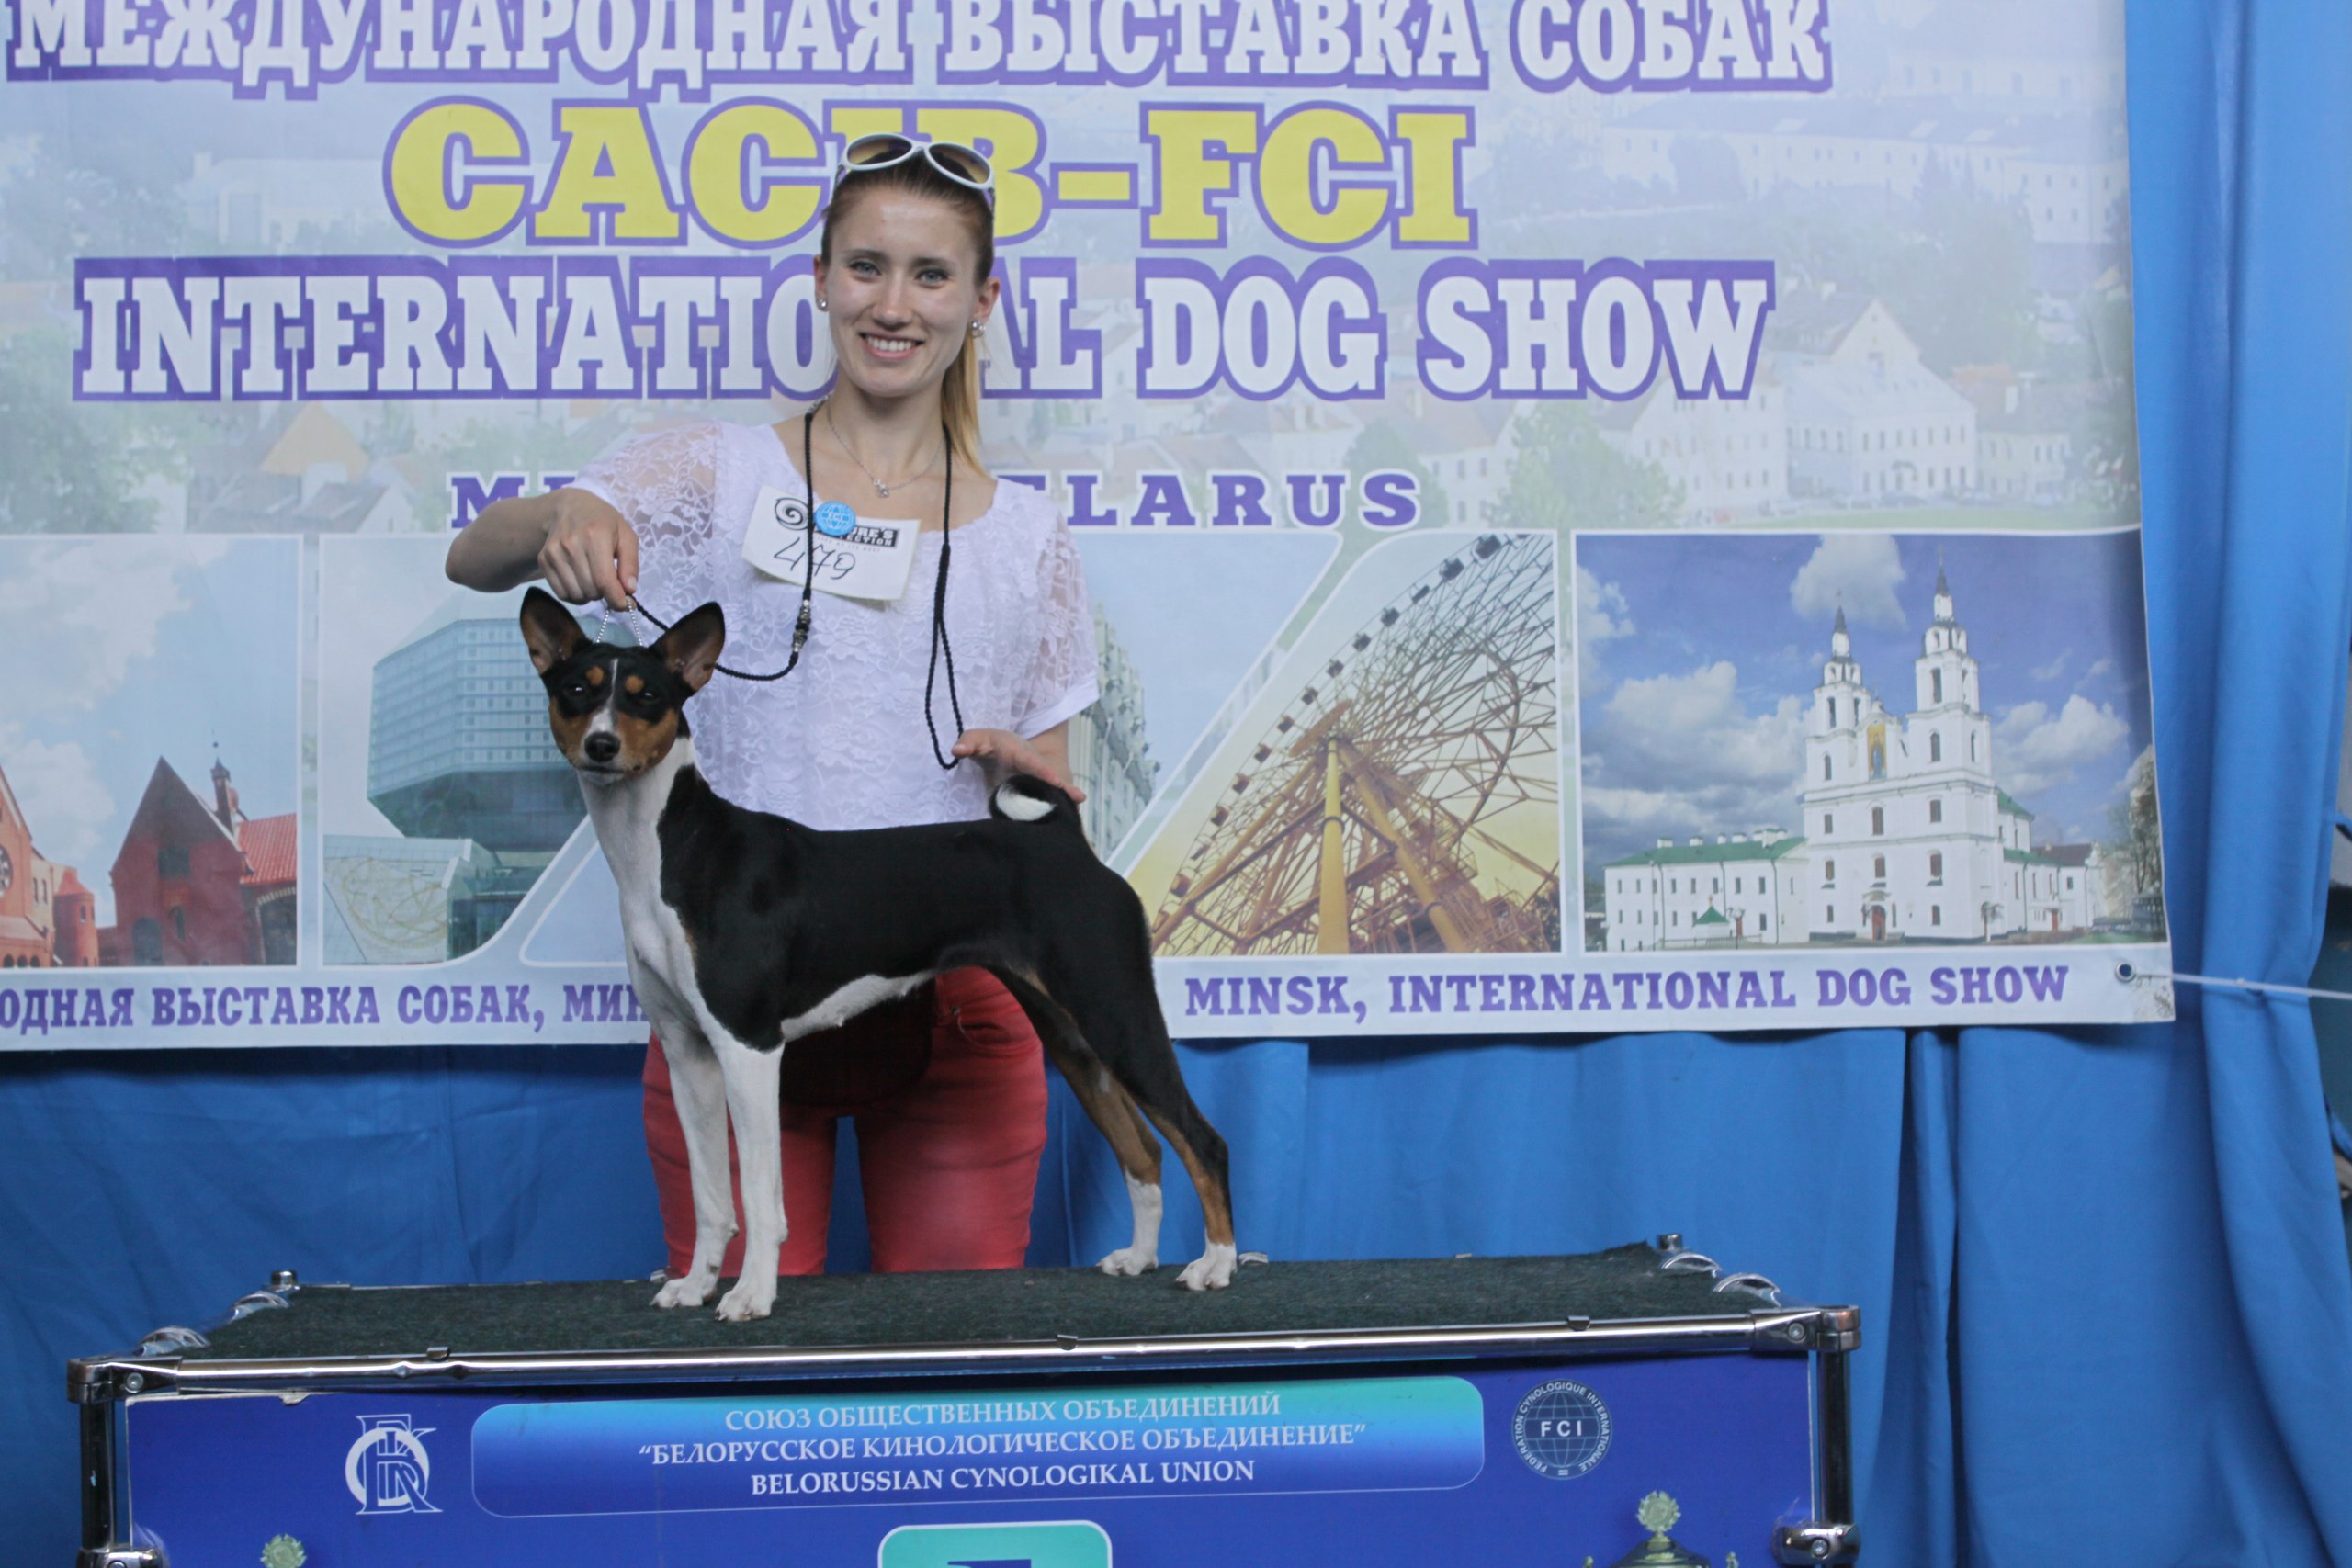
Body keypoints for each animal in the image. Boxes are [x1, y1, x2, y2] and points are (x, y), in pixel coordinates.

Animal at [520, 588, 1237, 1321]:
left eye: (647, 697)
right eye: (576, 690)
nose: (601, 745)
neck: (671, 850)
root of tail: (1065, 837)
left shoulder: (747, 1044)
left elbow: (759, 1194)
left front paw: (751, 1294)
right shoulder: (689, 1050)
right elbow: (710, 1193)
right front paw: (695, 1284)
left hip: (1115, 1010)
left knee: (1201, 1139)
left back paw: (1216, 1264)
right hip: (1070, 1033)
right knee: (1143, 1147)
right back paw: (1140, 1255)